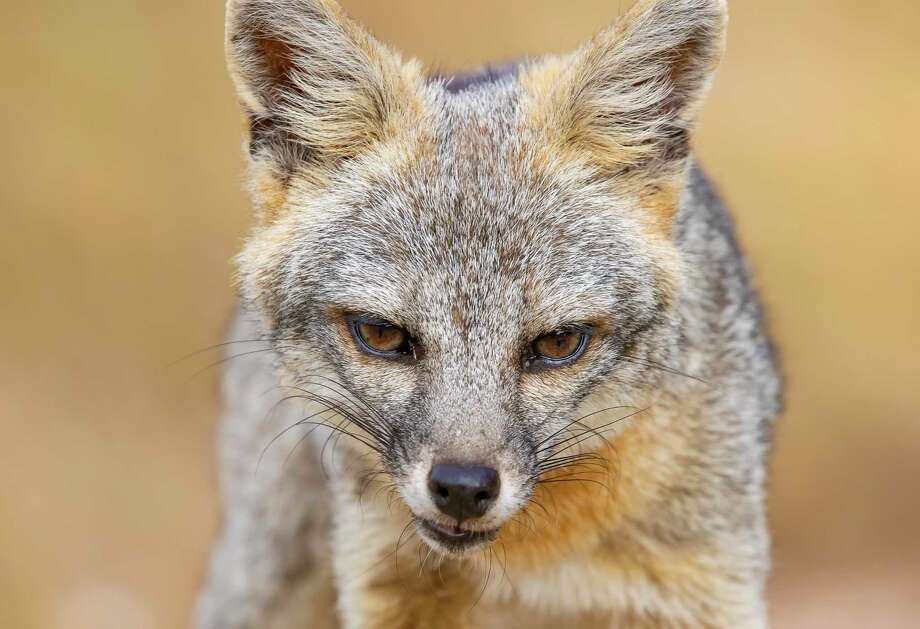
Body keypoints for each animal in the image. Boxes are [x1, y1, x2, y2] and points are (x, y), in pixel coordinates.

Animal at [196, 0, 782, 628]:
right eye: (381, 334)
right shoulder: (382, 586)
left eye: (558, 343)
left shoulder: (704, 587)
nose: (461, 488)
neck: (533, 567)